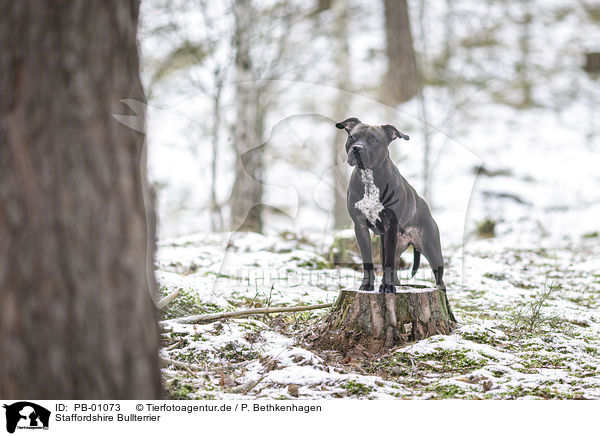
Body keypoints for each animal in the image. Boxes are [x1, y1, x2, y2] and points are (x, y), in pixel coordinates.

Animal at [336, 117, 448, 298]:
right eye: (352, 137)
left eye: (374, 140)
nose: (357, 148)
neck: (369, 177)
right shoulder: (360, 227)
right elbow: (367, 261)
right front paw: (367, 285)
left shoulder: (391, 226)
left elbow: (387, 264)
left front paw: (387, 288)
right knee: (394, 270)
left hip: (430, 247)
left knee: (439, 279)